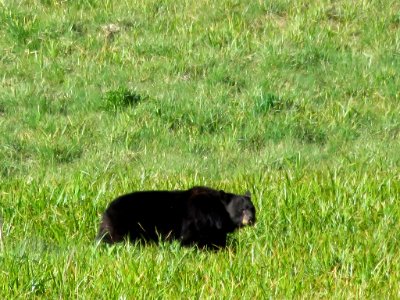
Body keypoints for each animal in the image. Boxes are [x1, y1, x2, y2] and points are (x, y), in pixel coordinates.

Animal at [97, 186, 256, 250]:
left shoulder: (215, 230)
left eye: (252, 209)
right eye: (242, 209)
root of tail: (106, 210)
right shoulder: (197, 220)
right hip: (123, 225)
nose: (251, 219)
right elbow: (190, 239)